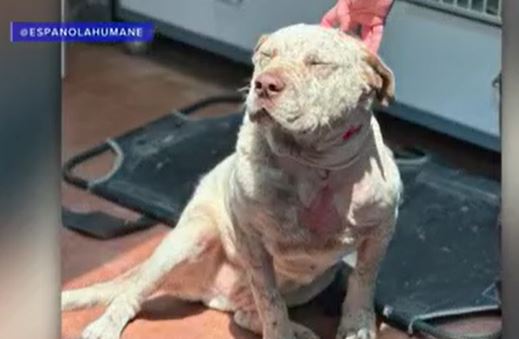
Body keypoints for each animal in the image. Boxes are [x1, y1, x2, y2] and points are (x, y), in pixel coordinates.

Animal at [61, 24, 402, 339]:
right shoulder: (252, 240)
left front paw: (357, 326)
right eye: (267, 56)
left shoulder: (381, 229)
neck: (311, 164)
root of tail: (215, 295)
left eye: (317, 63)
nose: (264, 84)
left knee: (245, 314)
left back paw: (297, 331)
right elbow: (270, 302)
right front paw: (281, 332)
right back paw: (105, 325)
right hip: (190, 237)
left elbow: (363, 280)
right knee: (130, 293)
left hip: (315, 280)